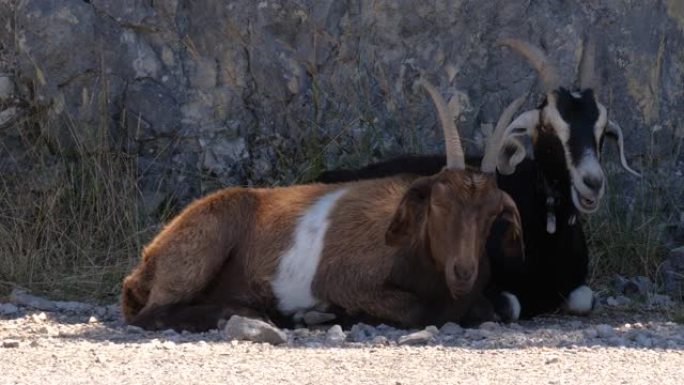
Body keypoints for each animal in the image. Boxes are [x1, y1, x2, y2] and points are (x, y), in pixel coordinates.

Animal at [121, 79, 524, 332]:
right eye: (439, 204)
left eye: (493, 215)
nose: (463, 272)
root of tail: (145, 262)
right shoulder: (346, 280)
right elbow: (415, 310)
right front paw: (334, 315)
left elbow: (491, 310)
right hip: (207, 240)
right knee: (152, 314)